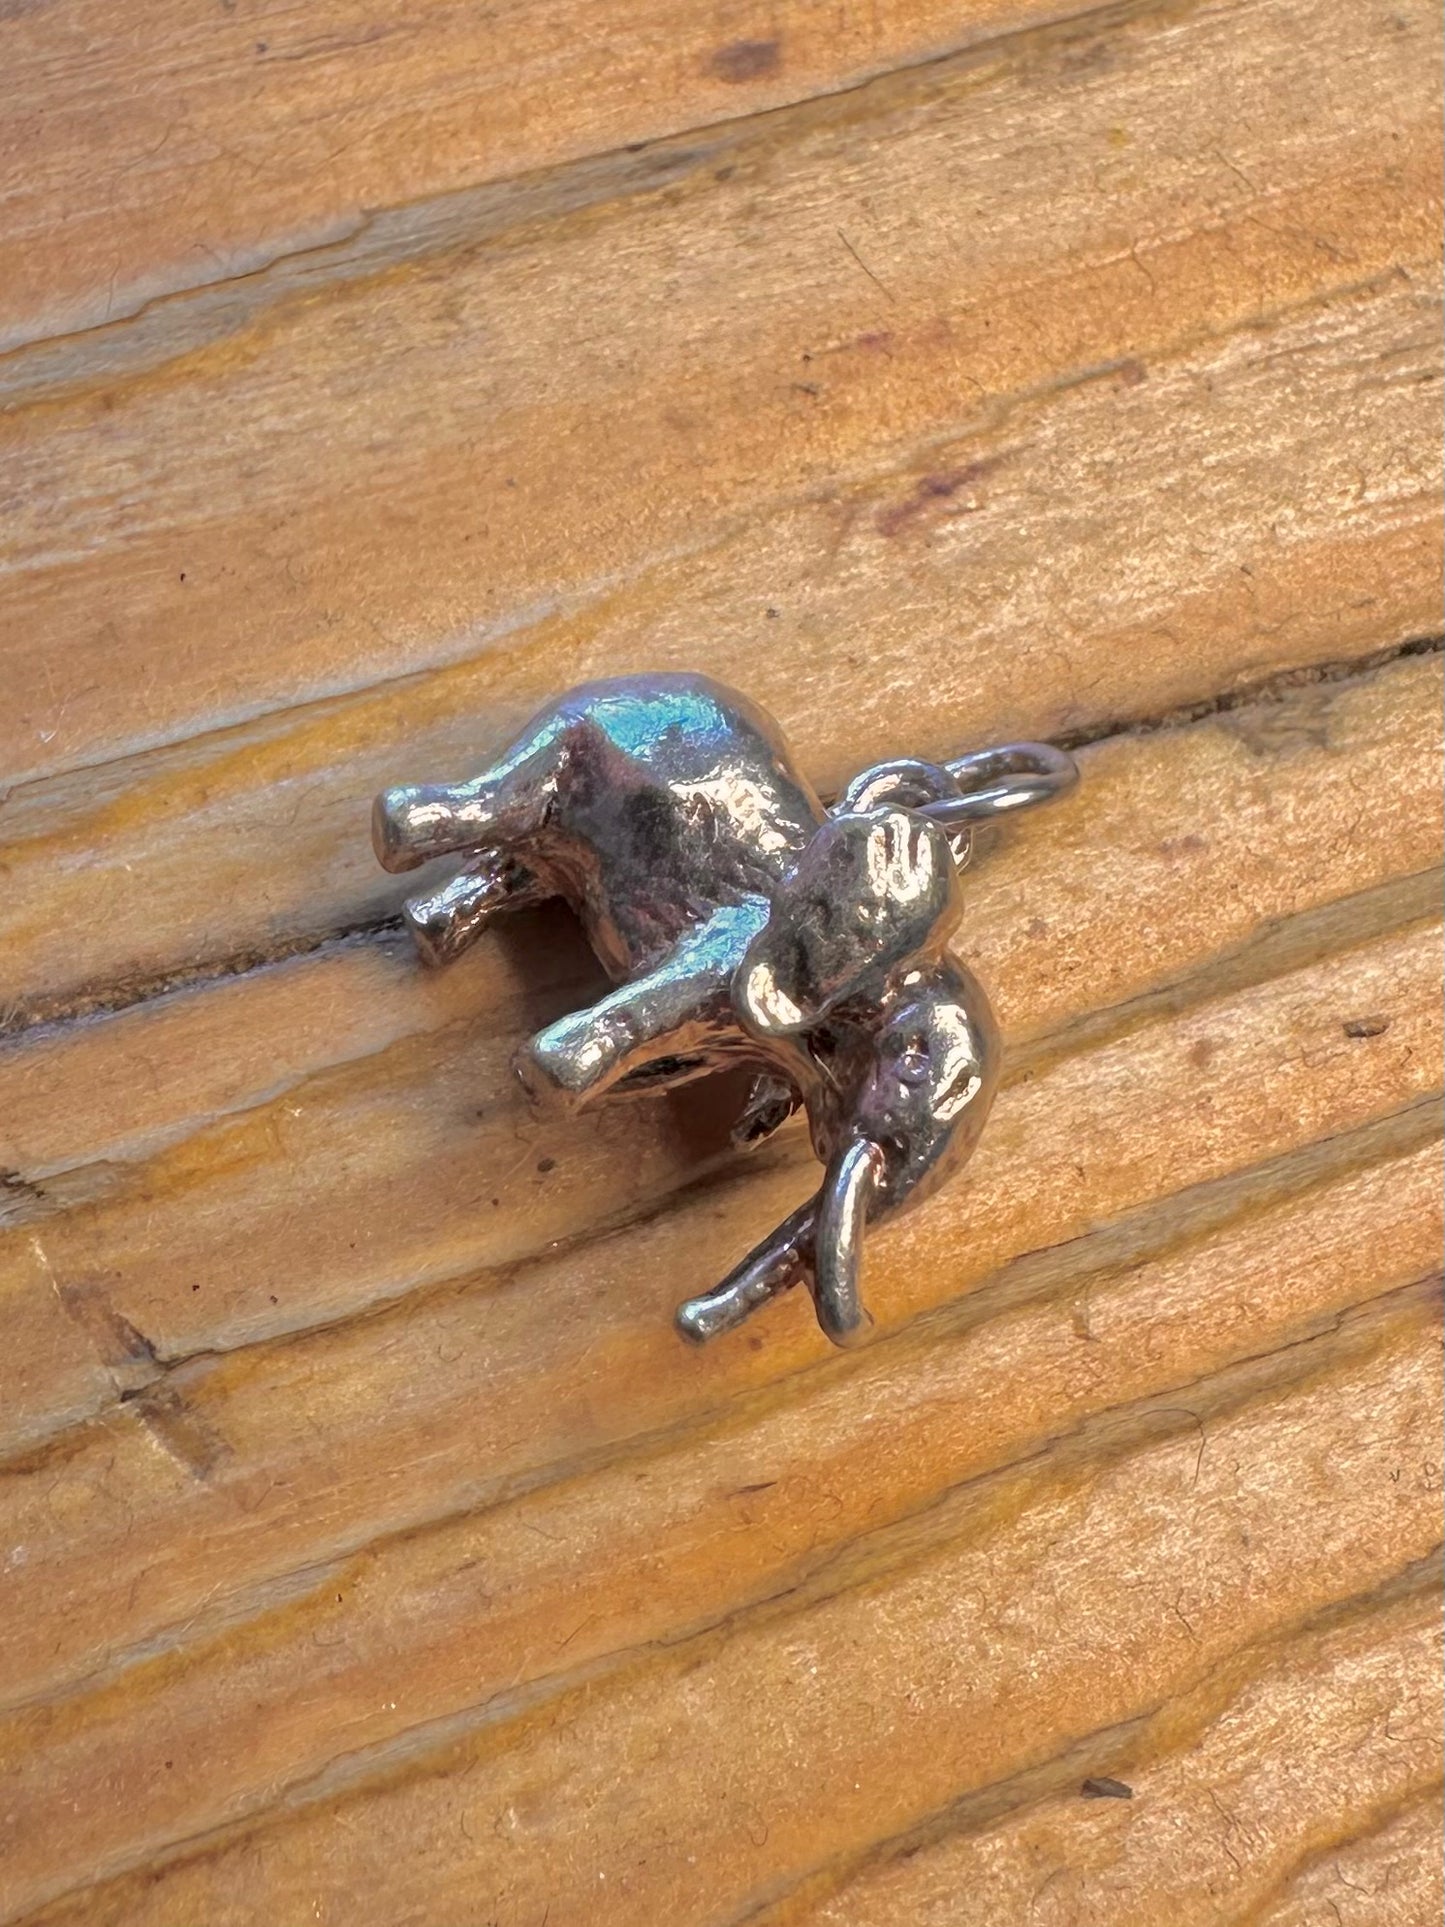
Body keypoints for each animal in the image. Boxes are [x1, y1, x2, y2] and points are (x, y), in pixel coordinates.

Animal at [373, 674, 1075, 1348]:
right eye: (913, 1058)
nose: (689, 1322)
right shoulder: (732, 947)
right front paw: (542, 1077)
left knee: (524, 860)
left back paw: (435, 925)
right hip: (575, 740)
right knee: (492, 805)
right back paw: (409, 845)